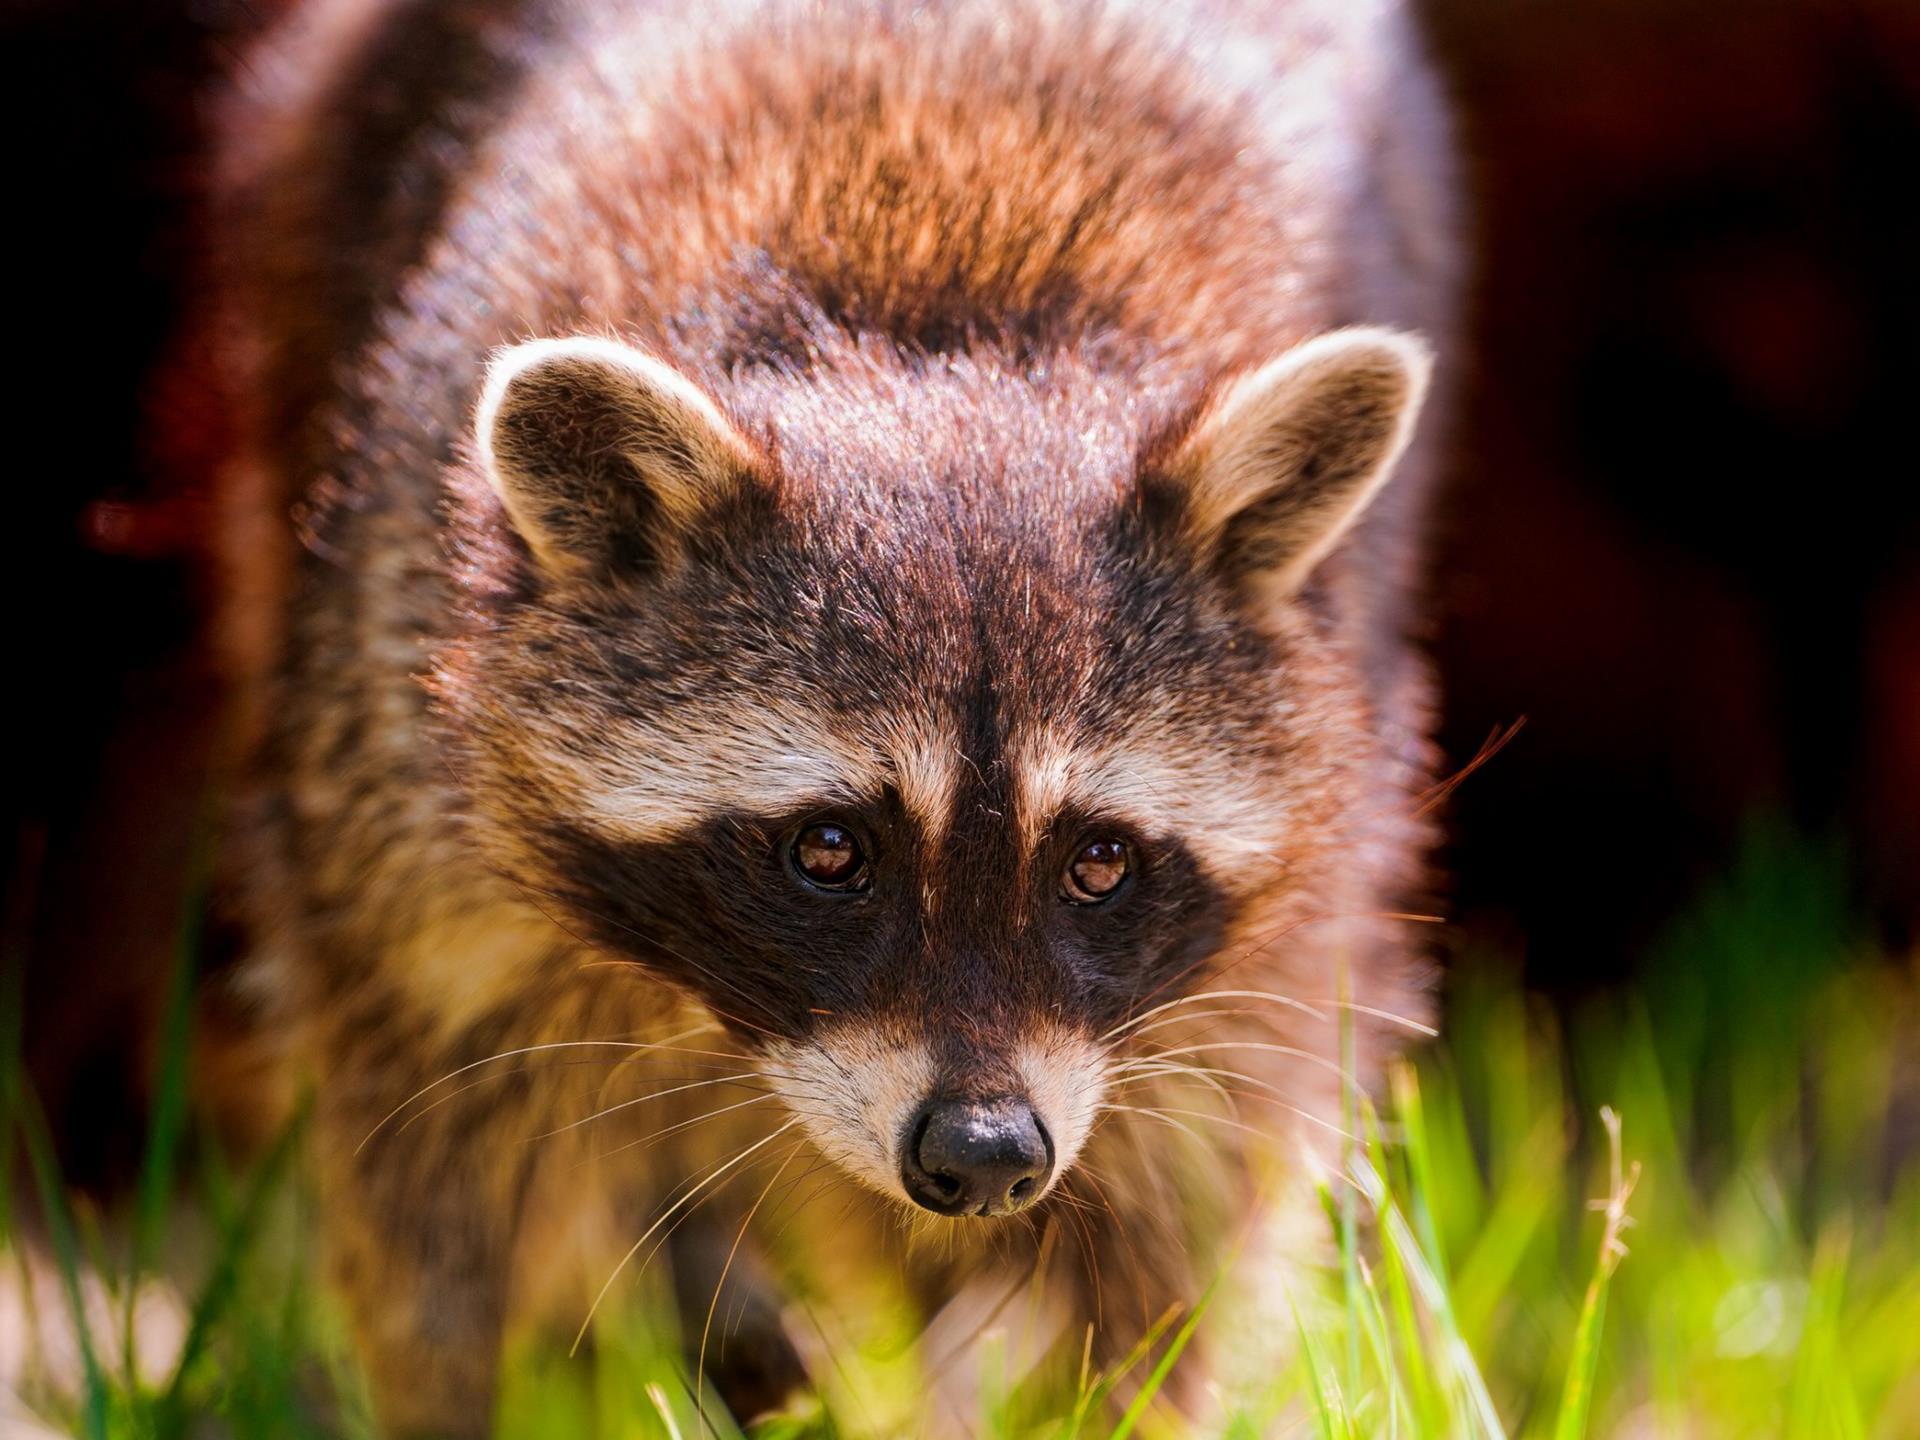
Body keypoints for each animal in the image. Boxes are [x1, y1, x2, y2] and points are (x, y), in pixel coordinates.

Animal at [202, 0, 1451, 1436]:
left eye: (1099, 861)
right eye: (830, 849)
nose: (984, 1156)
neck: (941, 330)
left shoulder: (1275, 934)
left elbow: (1173, 1214)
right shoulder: (401, 774)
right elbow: (427, 1184)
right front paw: (444, 1395)